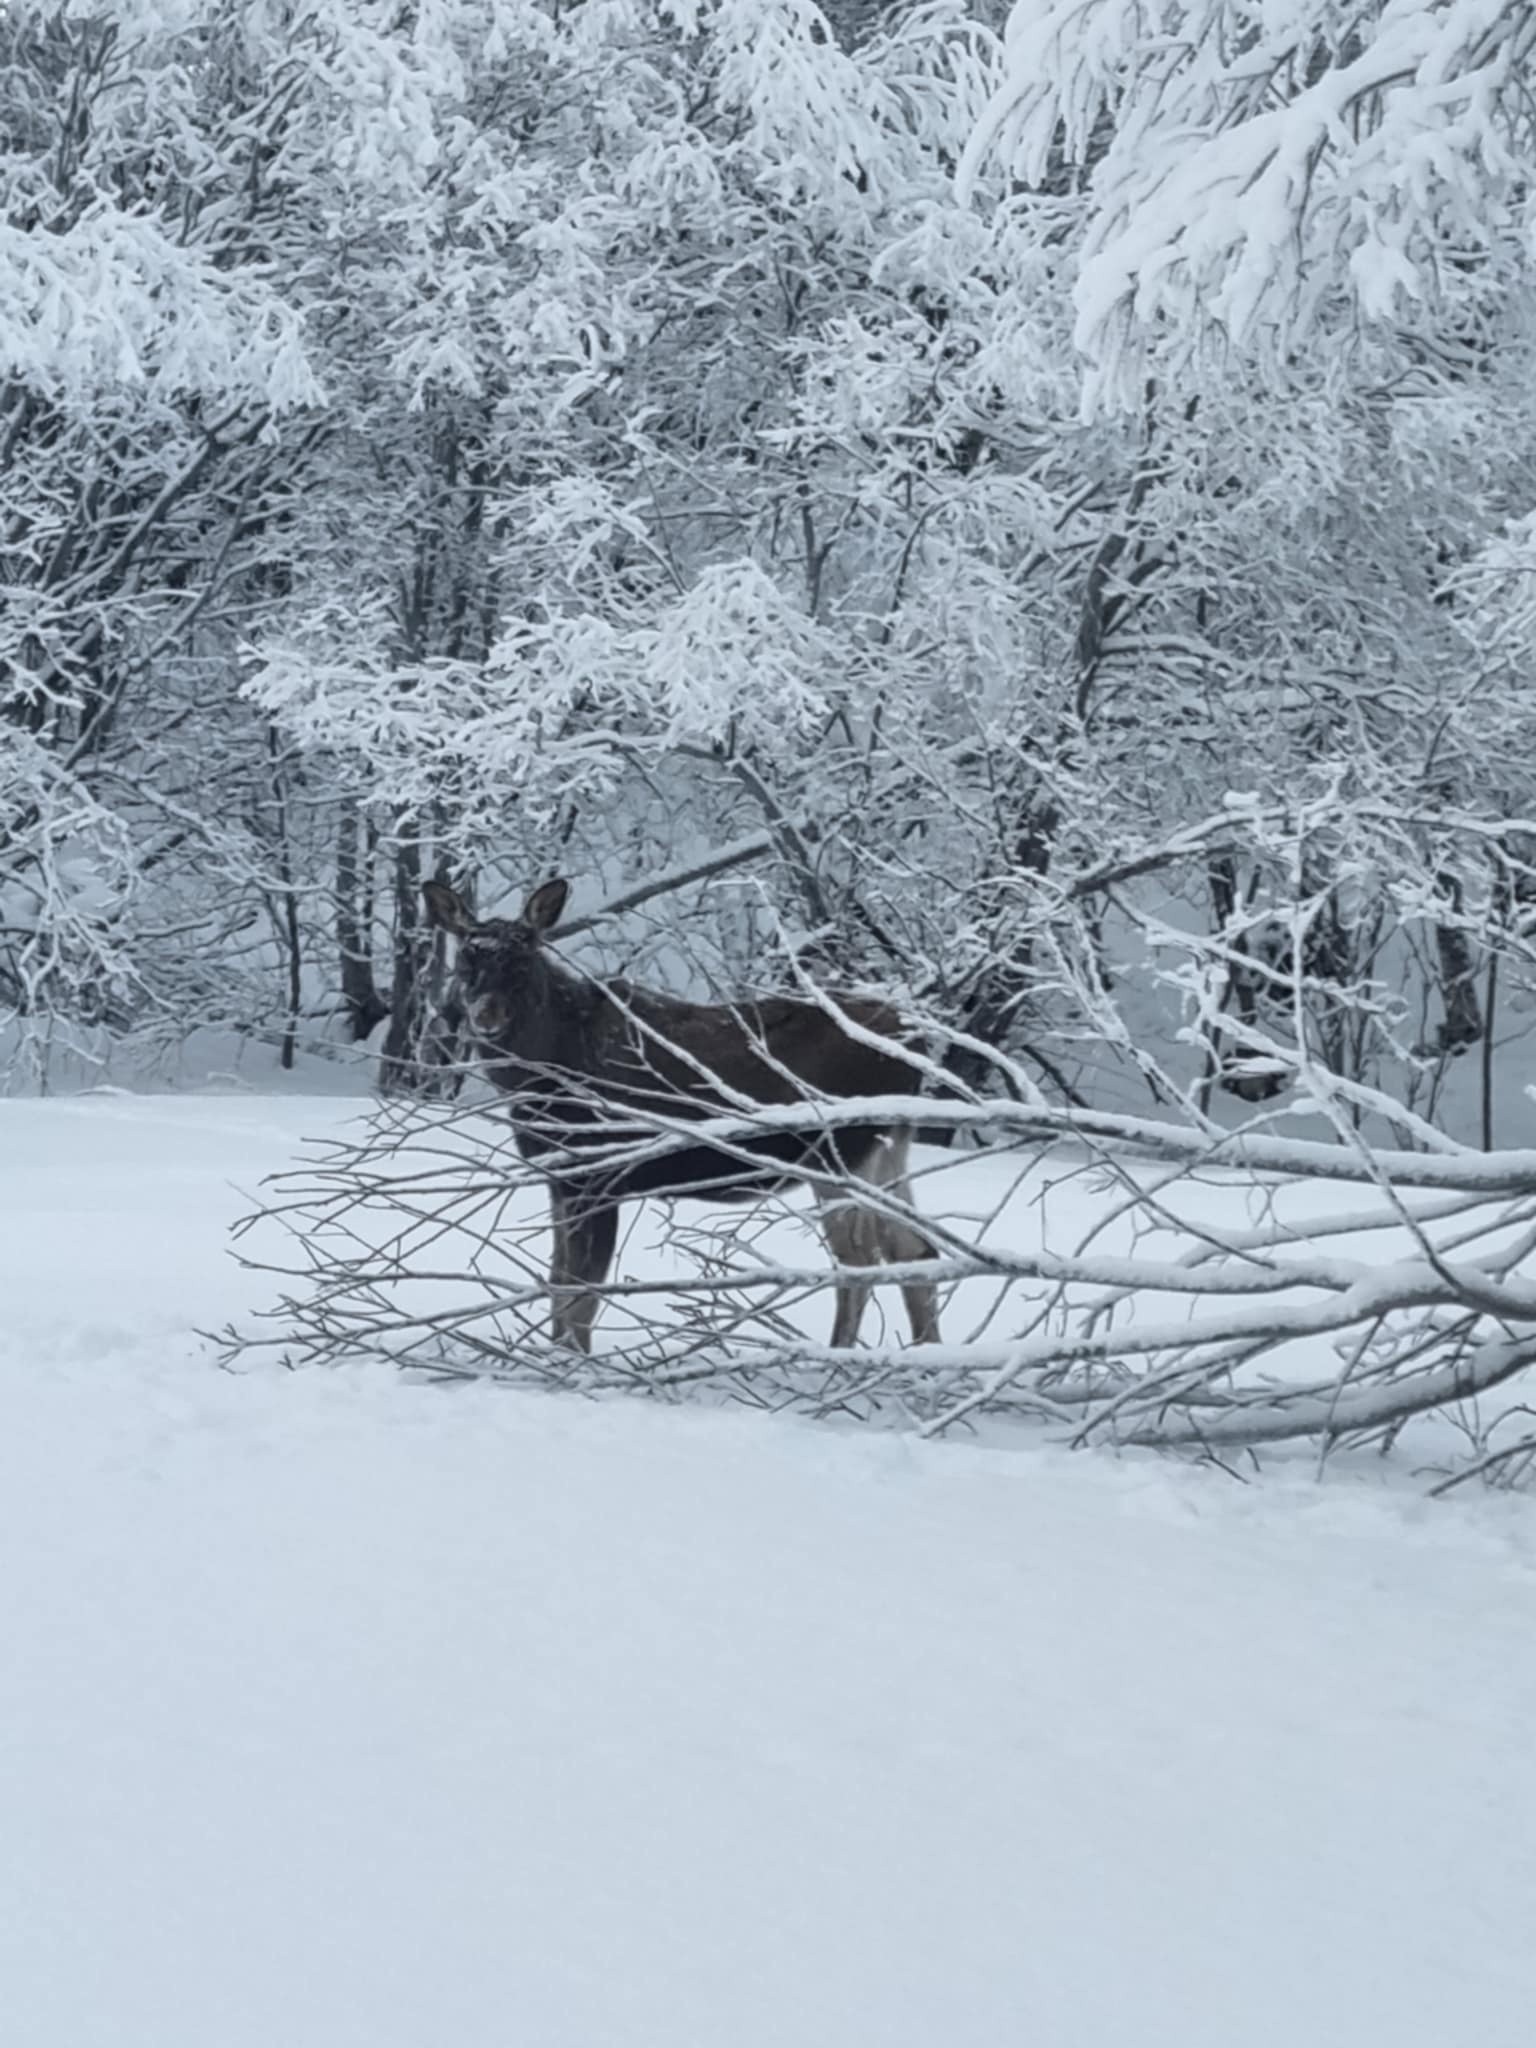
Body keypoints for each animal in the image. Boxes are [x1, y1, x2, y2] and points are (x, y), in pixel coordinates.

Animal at [422, 876, 942, 1354]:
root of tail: (915, 1045)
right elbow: (557, 1283)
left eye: (522, 960)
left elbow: (581, 1295)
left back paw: (840, 1358)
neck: (544, 1074)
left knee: (861, 1260)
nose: (486, 1016)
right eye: (466, 961)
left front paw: (571, 1361)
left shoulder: (602, 1174)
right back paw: (928, 1355)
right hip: (887, 1148)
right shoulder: (560, 1177)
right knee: (916, 1250)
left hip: (839, 1150)